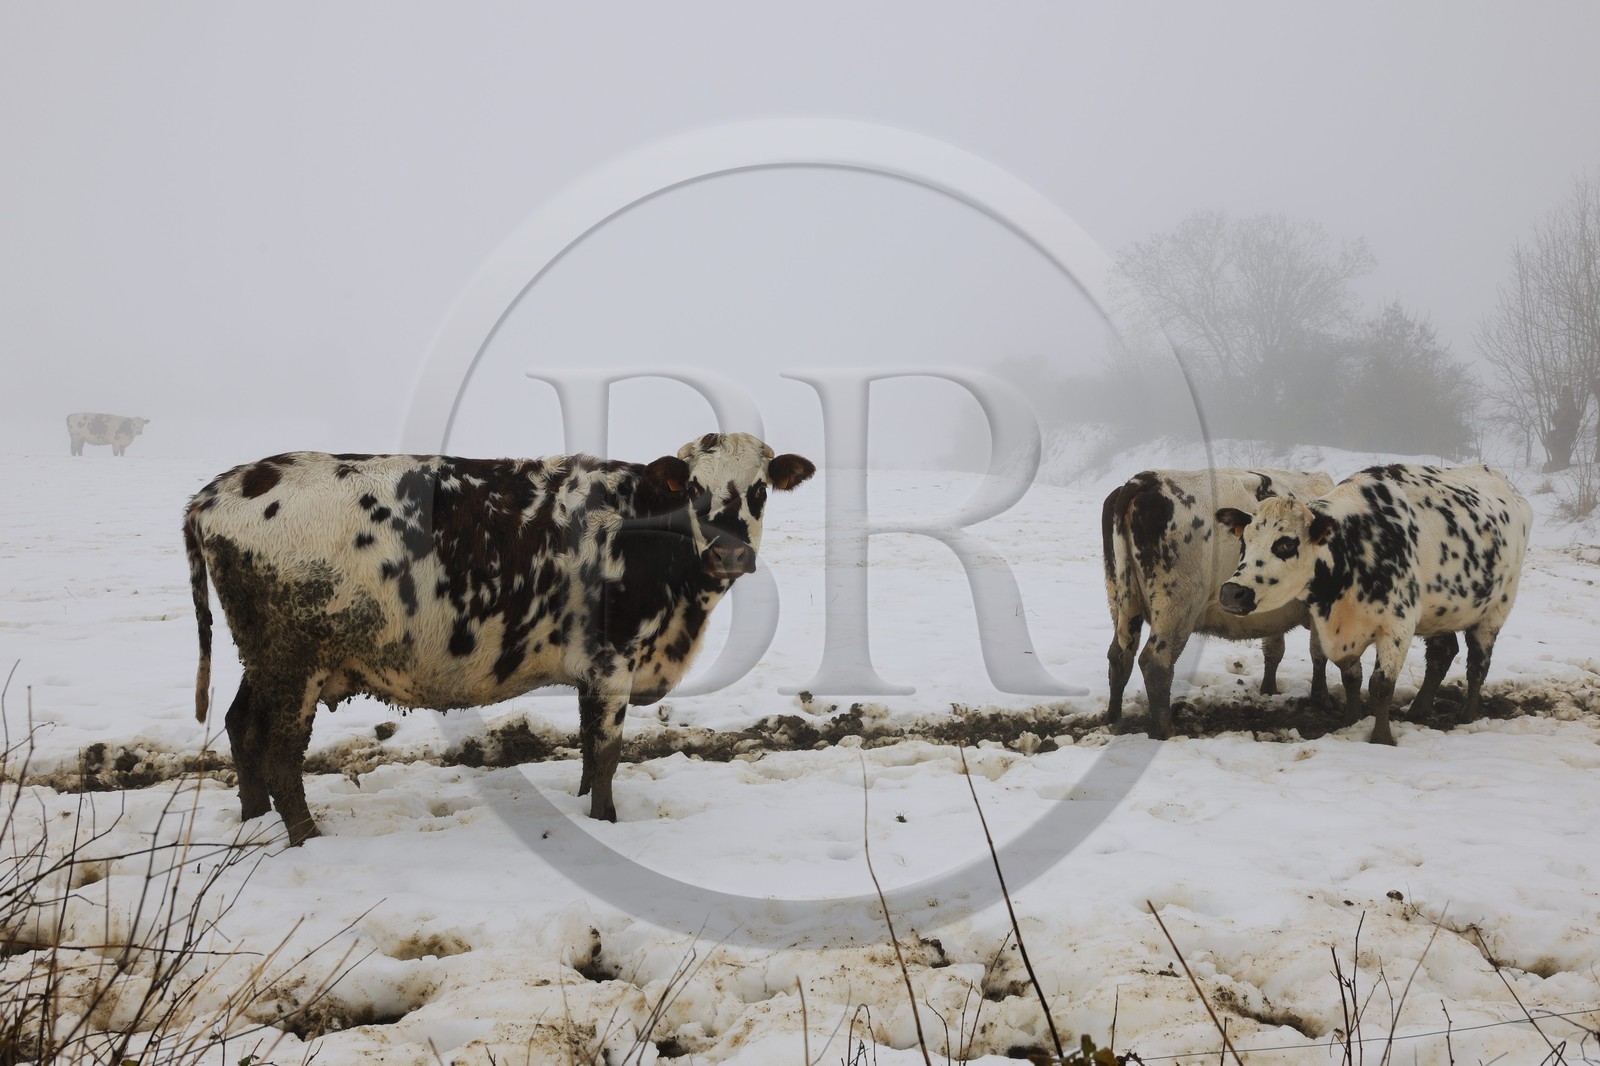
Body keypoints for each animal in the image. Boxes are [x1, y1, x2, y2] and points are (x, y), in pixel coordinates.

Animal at [184, 432, 815, 845]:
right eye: (695, 489)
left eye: (760, 490)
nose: (729, 553)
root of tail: (221, 488)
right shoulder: (614, 662)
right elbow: (607, 754)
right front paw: (606, 825)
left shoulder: (591, 672)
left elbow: (589, 750)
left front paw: (582, 805)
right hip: (293, 663)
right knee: (279, 752)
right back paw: (307, 838)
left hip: (264, 659)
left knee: (241, 727)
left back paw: (253, 820)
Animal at [1103, 467, 1336, 739]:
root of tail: (1143, 481)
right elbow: (1318, 653)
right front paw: (1322, 700)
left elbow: (1275, 649)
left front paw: (1269, 690)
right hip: (1177, 605)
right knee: (1155, 662)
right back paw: (1167, 731)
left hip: (1122, 601)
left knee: (1119, 656)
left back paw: (1114, 719)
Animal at [1216, 464, 1532, 745]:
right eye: (1244, 541)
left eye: (1285, 544)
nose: (1232, 592)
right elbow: (1351, 676)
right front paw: (1351, 720)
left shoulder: (1397, 627)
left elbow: (1380, 686)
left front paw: (1381, 738)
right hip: (1440, 612)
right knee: (1442, 654)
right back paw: (1419, 709)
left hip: (1494, 612)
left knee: (1478, 664)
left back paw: (1467, 715)